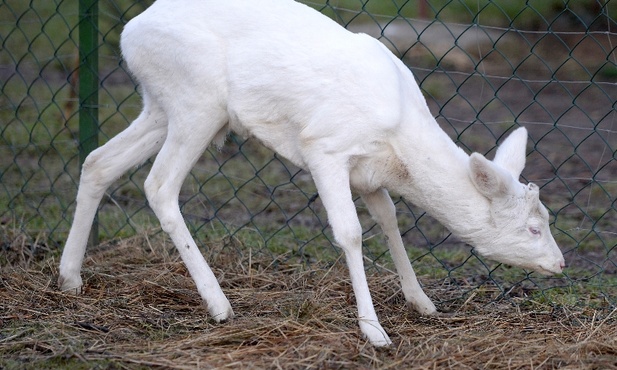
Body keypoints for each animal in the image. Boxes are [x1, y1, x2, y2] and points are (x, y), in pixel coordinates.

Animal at [57, 0, 564, 346]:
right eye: (532, 227)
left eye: (547, 219)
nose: (560, 263)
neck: (399, 144)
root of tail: (130, 32)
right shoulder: (326, 148)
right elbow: (350, 233)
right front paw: (374, 331)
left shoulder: (368, 175)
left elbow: (389, 221)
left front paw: (422, 303)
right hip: (196, 102)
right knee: (158, 184)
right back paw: (219, 304)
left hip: (161, 105)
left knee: (98, 160)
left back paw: (70, 278)